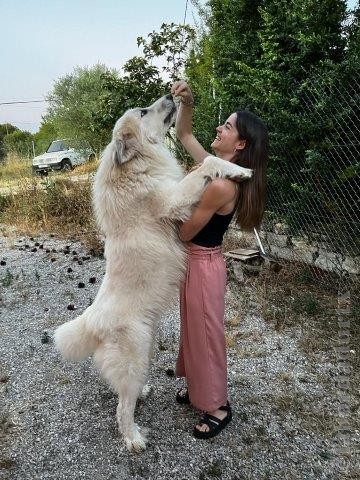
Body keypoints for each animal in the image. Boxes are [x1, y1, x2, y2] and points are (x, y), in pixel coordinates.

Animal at [54, 94, 253, 454]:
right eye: (144, 111)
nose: (171, 95)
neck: (136, 169)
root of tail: (93, 320)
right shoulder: (174, 199)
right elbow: (208, 162)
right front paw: (242, 170)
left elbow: (206, 160)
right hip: (135, 355)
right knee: (122, 408)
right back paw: (134, 439)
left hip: (144, 350)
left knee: (123, 391)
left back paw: (141, 395)